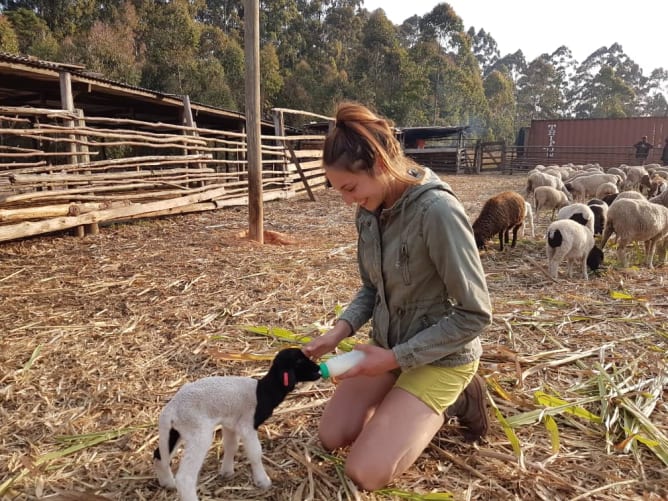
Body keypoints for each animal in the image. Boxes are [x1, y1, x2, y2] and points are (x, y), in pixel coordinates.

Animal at [157, 348, 324, 500]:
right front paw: (262, 481)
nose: (318, 369)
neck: (264, 391)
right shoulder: (247, 425)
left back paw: (168, 483)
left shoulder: (231, 424)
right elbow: (255, 453)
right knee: (185, 477)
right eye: (298, 361)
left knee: (159, 456)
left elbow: (231, 446)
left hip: (176, 431)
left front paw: (227, 472)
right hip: (198, 432)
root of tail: (171, 409)